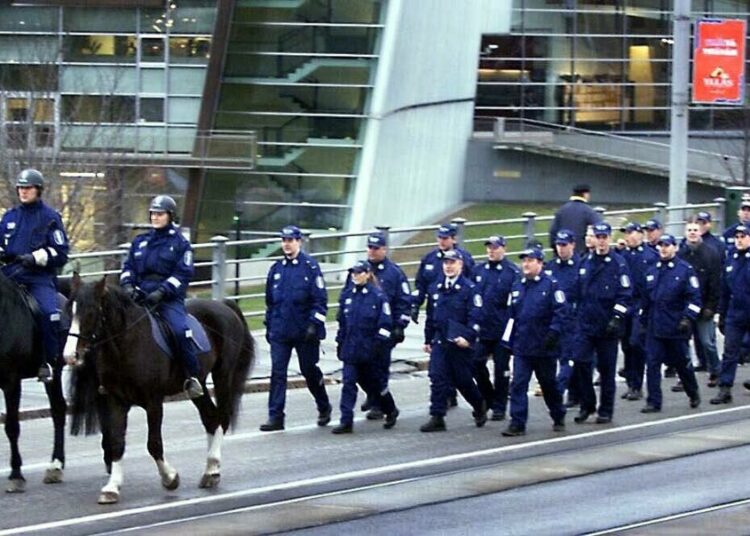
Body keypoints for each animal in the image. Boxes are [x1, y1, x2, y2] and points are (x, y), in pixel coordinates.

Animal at [68, 274, 256, 504]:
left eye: (91, 311)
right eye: (69, 310)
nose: (70, 355)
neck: (127, 343)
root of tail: (223, 305)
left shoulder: (153, 401)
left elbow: (154, 443)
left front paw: (170, 478)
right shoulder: (116, 401)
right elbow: (116, 443)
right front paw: (112, 488)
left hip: (223, 376)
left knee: (222, 418)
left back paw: (212, 469)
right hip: (199, 384)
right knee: (211, 419)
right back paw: (210, 470)